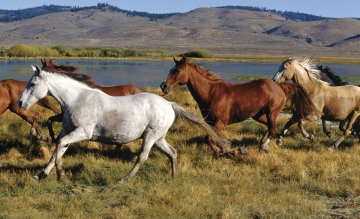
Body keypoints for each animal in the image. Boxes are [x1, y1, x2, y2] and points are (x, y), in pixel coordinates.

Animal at [17, 65, 233, 183]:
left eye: (32, 84)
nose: (19, 103)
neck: (78, 99)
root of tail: (170, 104)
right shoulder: (67, 131)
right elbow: (57, 150)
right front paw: (40, 176)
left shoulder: (83, 133)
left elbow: (59, 147)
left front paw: (61, 174)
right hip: (158, 138)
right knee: (172, 153)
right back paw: (174, 177)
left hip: (150, 137)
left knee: (142, 158)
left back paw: (123, 181)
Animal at [159, 55, 316, 155]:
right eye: (170, 70)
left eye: (177, 70)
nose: (163, 86)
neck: (211, 93)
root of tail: (278, 86)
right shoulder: (211, 123)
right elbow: (215, 140)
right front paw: (226, 151)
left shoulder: (220, 123)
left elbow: (210, 139)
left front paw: (231, 152)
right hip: (259, 115)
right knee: (269, 129)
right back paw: (262, 145)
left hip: (271, 113)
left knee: (272, 130)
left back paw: (264, 146)